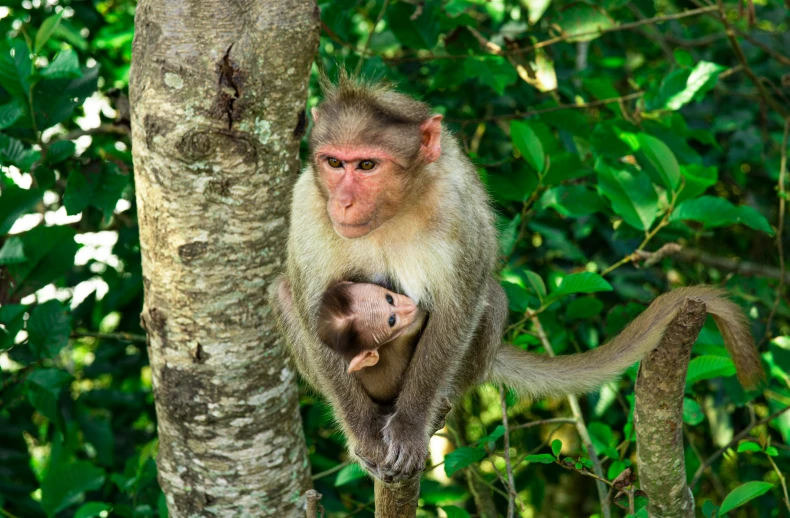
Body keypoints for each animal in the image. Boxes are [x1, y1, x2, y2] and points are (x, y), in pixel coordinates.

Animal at [270, 75, 764, 486]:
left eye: (368, 166)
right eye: (334, 163)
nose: (344, 202)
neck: (393, 210)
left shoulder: (457, 204)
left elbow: (460, 305)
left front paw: (408, 430)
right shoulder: (308, 203)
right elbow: (311, 306)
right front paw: (368, 438)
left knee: (489, 295)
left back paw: (439, 402)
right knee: (284, 293)